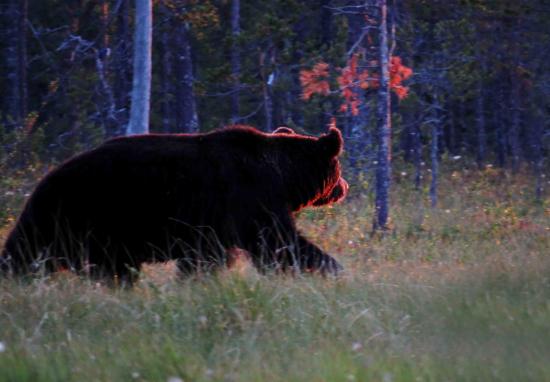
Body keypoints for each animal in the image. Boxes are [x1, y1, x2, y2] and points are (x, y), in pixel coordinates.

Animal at [2, 124, 350, 280]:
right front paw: (332, 267)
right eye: (338, 168)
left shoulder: (212, 224)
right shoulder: (247, 199)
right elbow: (278, 243)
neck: (283, 177)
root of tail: (44, 180)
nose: (343, 187)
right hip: (91, 214)